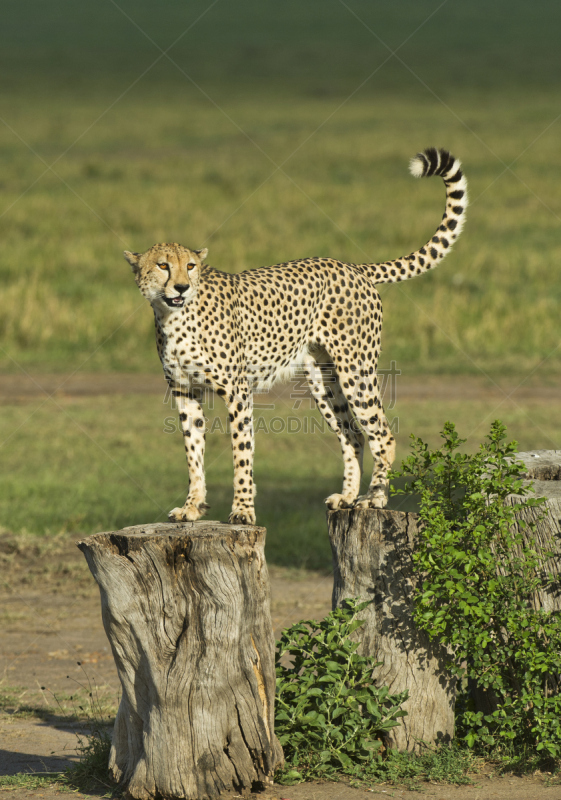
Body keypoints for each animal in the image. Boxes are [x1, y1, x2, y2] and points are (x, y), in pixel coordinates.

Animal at [127, 148, 468, 524]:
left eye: (190, 266)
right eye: (162, 265)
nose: (182, 287)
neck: (173, 316)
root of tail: (351, 266)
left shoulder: (237, 390)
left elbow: (241, 453)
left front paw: (242, 510)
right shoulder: (185, 390)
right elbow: (193, 453)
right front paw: (192, 506)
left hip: (356, 371)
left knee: (382, 433)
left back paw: (374, 499)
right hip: (323, 379)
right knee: (353, 435)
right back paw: (348, 497)